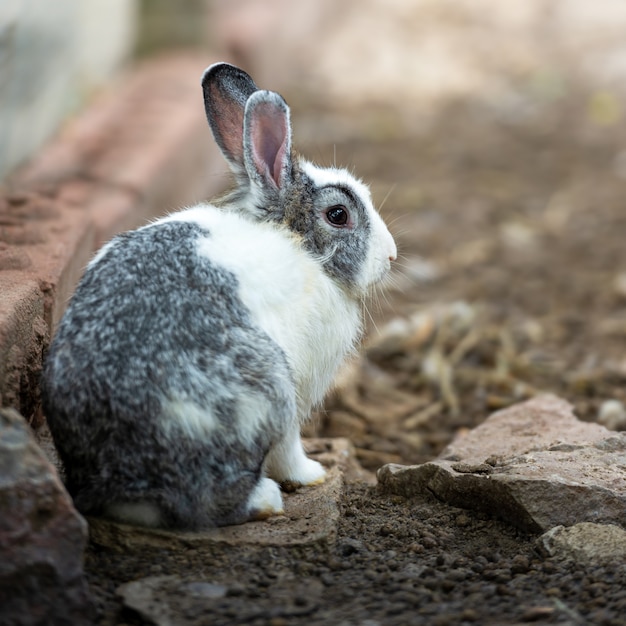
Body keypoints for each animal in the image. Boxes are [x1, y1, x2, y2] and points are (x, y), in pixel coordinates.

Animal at [40, 62, 394, 528]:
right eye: (338, 215)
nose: (391, 255)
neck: (299, 246)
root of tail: (125, 485)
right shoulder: (294, 395)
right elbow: (290, 448)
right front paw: (312, 474)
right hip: (266, 386)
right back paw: (265, 499)